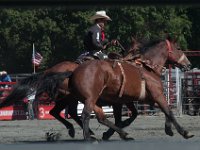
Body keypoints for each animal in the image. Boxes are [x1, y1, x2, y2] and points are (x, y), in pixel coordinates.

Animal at [50, 37, 193, 141]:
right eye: (179, 48)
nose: (188, 64)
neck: (147, 68)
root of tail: (72, 72)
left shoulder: (132, 100)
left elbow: (134, 115)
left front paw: (168, 129)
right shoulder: (157, 95)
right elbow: (168, 111)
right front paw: (184, 132)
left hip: (86, 99)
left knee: (88, 115)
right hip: (87, 98)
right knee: (83, 114)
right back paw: (89, 137)